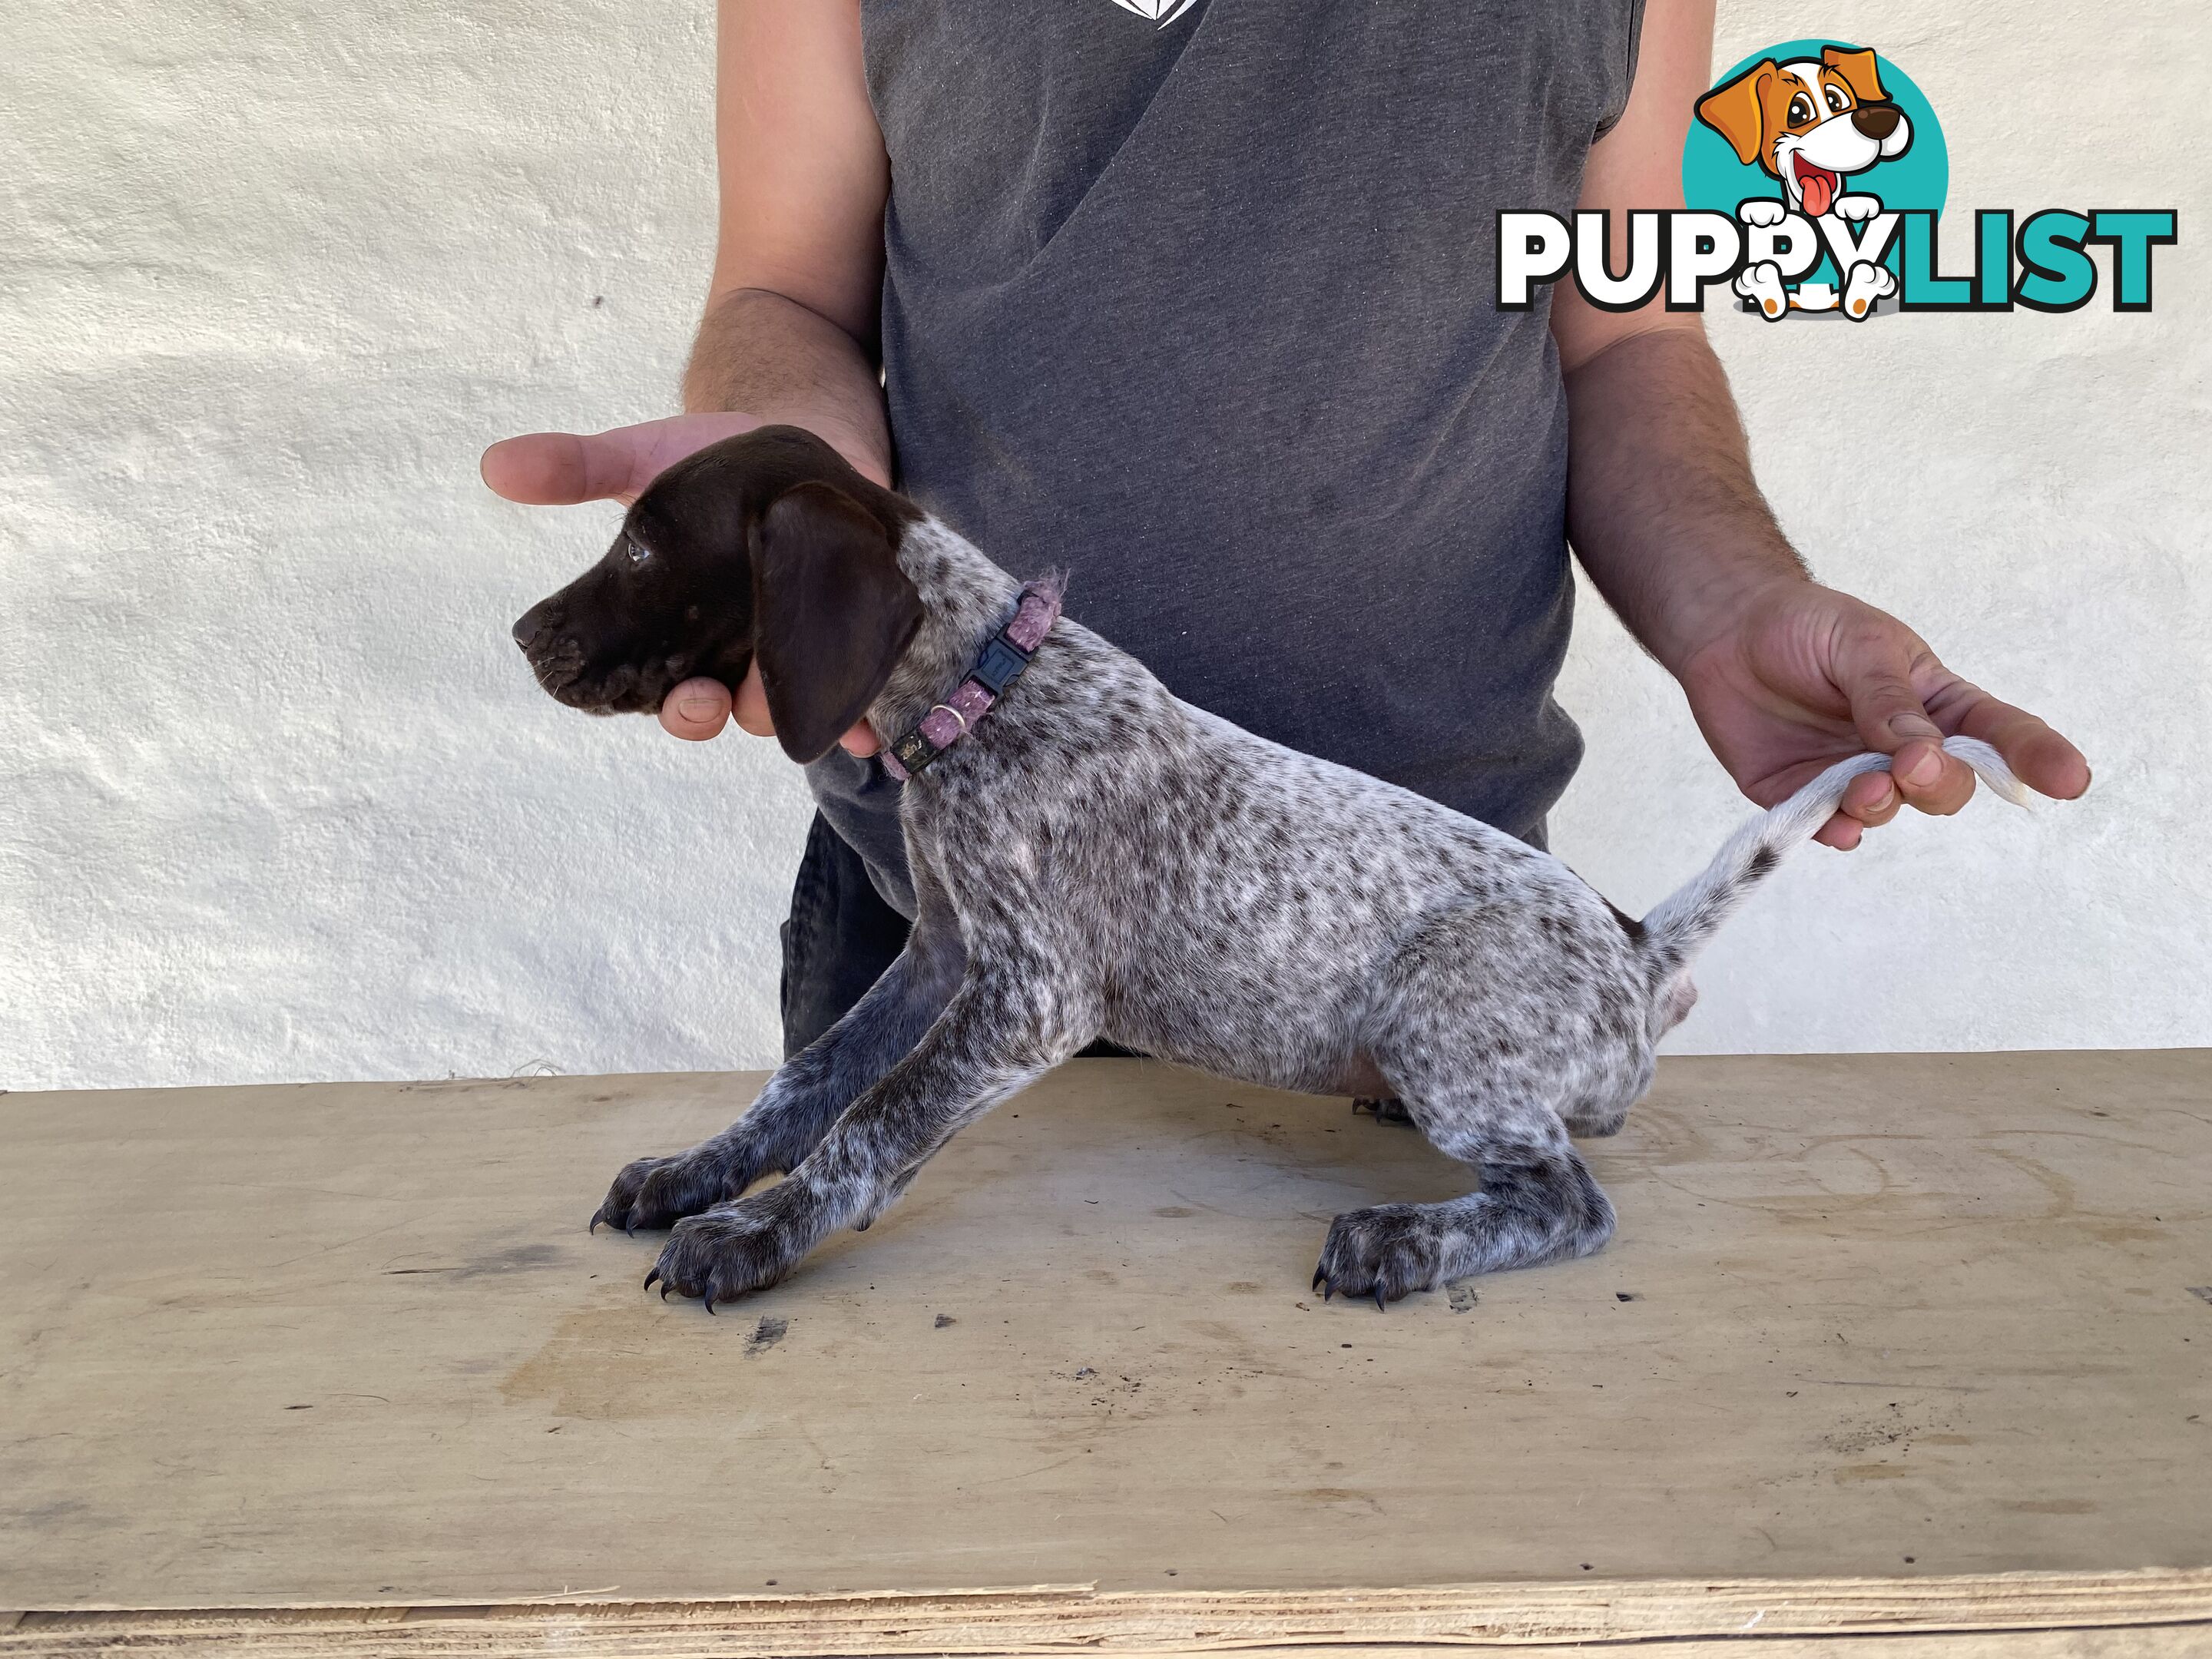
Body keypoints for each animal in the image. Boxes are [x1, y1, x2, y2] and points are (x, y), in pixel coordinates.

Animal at [508, 424, 2026, 1309]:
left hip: (1440, 1017)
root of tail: (1636, 949)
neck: (988, 691)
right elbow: (814, 1078)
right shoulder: (942, 953)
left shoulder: (1030, 997)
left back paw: (1408, 1241)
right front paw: (704, 1172)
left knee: (1571, 1202)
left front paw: (759, 1235)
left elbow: (875, 1124)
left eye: (640, 542)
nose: (521, 633)